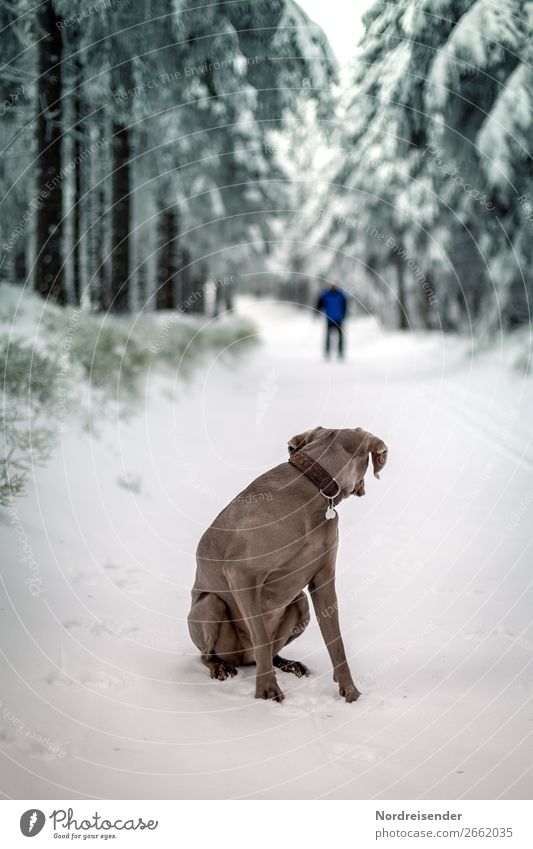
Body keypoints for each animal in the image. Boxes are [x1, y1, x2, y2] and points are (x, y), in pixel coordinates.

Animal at [187, 424, 386, 704]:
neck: (313, 489)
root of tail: (242, 657)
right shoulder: (241, 574)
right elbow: (260, 635)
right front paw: (267, 691)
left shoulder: (323, 579)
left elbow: (336, 642)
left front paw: (350, 693)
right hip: (209, 605)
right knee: (211, 654)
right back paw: (221, 667)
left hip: (300, 603)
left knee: (271, 652)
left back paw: (289, 664)